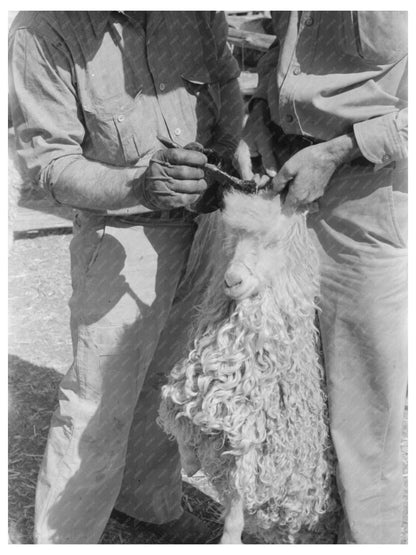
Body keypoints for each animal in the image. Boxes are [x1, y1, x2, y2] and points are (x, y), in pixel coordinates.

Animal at [159, 190, 342, 544]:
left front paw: (229, 540)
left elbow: (234, 514)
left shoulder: (251, 450)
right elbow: (182, 428)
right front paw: (189, 465)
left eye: (273, 242)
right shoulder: (193, 401)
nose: (232, 280)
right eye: (229, 236)